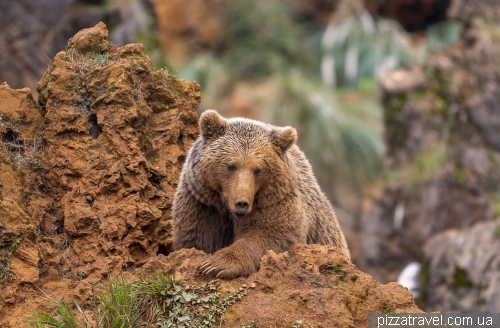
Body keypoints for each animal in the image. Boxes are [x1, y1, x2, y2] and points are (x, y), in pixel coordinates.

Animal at [174, 109, 350, 278]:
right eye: (231, 166)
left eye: (258, 170)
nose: (242, 203)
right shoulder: (203, 204)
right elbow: (197, 239)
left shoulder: (277, 202)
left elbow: (273, 236)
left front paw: (217, 264)